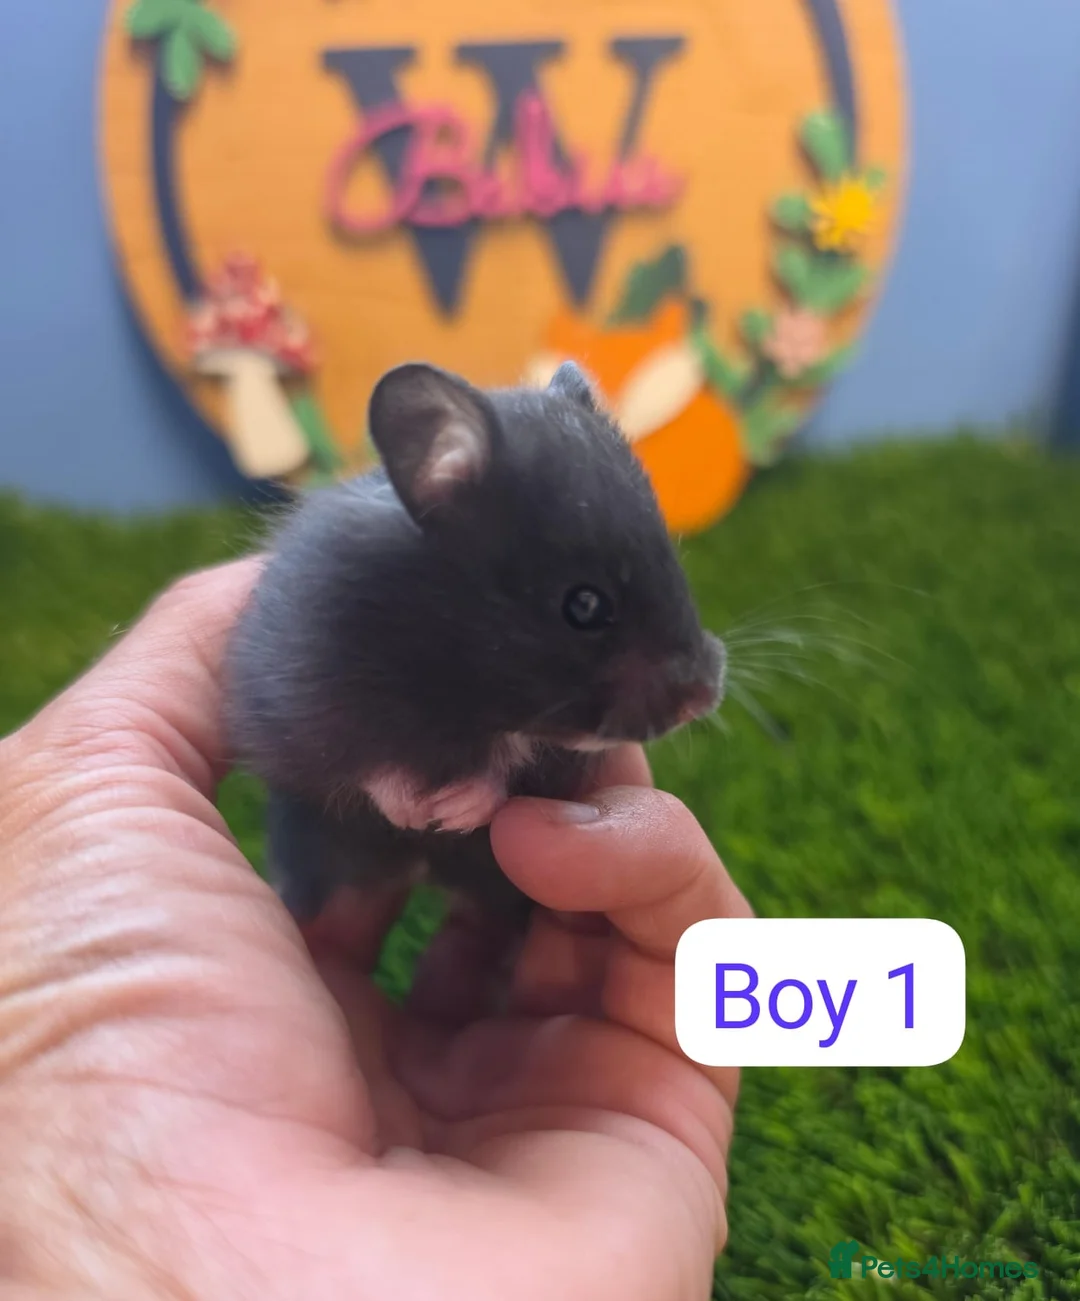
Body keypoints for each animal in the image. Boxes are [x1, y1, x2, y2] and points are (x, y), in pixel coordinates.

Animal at [224, 360, 725, 926]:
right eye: (584, 605)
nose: (703, 699)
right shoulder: (299, 697)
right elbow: (363, 766)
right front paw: (416, 811)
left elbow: (510, 768)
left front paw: (452, 811)